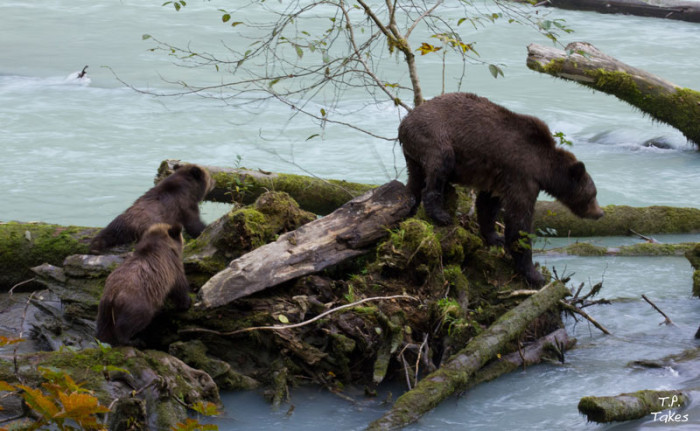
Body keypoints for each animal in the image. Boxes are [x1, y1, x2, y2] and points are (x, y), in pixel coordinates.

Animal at [396, 92, 604, 286]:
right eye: (592, 195)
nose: (600, 213)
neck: (544, 168)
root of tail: (404, 122)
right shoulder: (522, 176)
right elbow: (519, 221)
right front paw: (534, 274)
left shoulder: (499, 179)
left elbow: (488, 206)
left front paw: (495, 237)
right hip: (434, 134)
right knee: (439, 166)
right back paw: (440, 214)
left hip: (413, 153)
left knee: (414, 182)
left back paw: (408, 208)